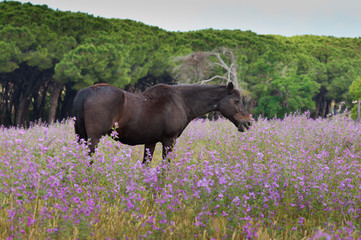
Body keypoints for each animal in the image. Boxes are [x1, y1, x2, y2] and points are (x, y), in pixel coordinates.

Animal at [71, 82, 249, 163]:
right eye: (236, 100)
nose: (247, 122)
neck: (181, 101)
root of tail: (88, 91)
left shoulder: (150, 142)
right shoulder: (169, 141)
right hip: (93, 138)